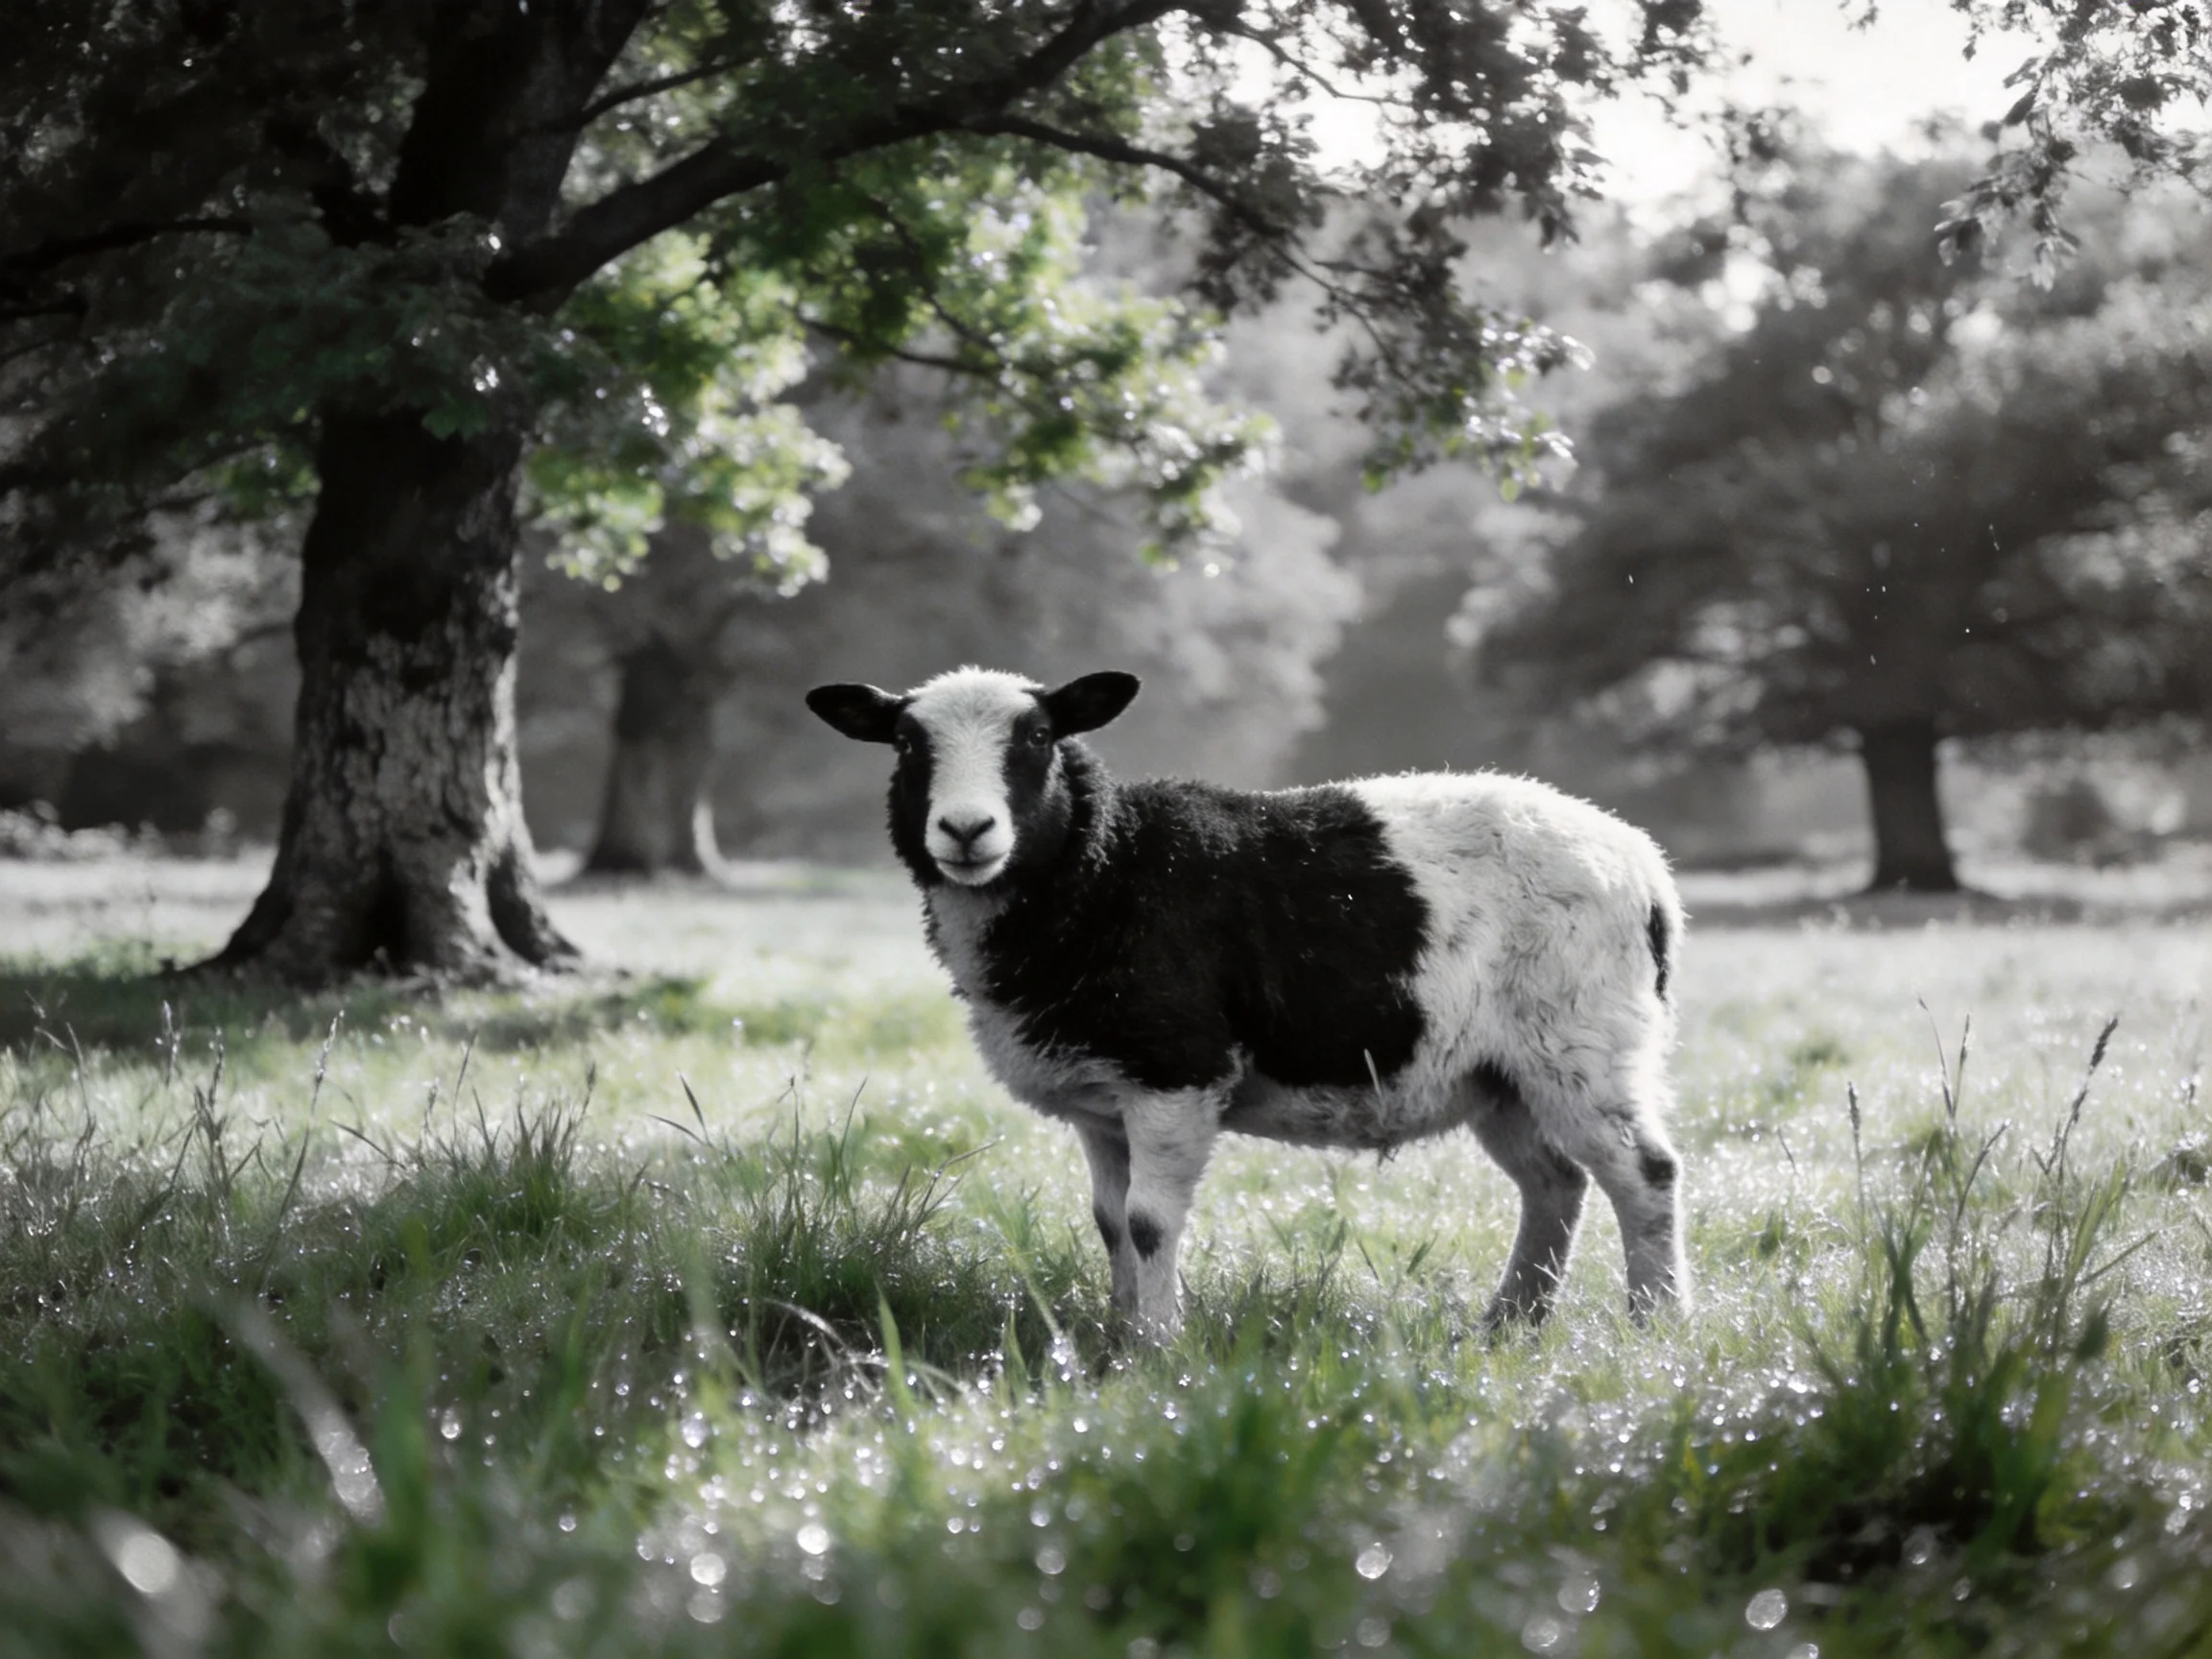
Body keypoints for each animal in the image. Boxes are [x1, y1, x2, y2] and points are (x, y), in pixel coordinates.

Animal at [806, 666, 1688, 1339]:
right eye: (907, 744)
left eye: (1038, 739)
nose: (965, 829)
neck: (1106, 873)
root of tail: (1646, 866)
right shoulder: (1101, 1098)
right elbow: (1110, 1220)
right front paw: (1118, 1334)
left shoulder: (1174, 1070)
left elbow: (1149, 1221)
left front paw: (1159, 1347)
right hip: (1500, 1073)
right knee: (1554, 1184)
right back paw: (1510, 1323)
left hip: (1585, 1042)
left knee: (1645, 1174)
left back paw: (1657, 1325)